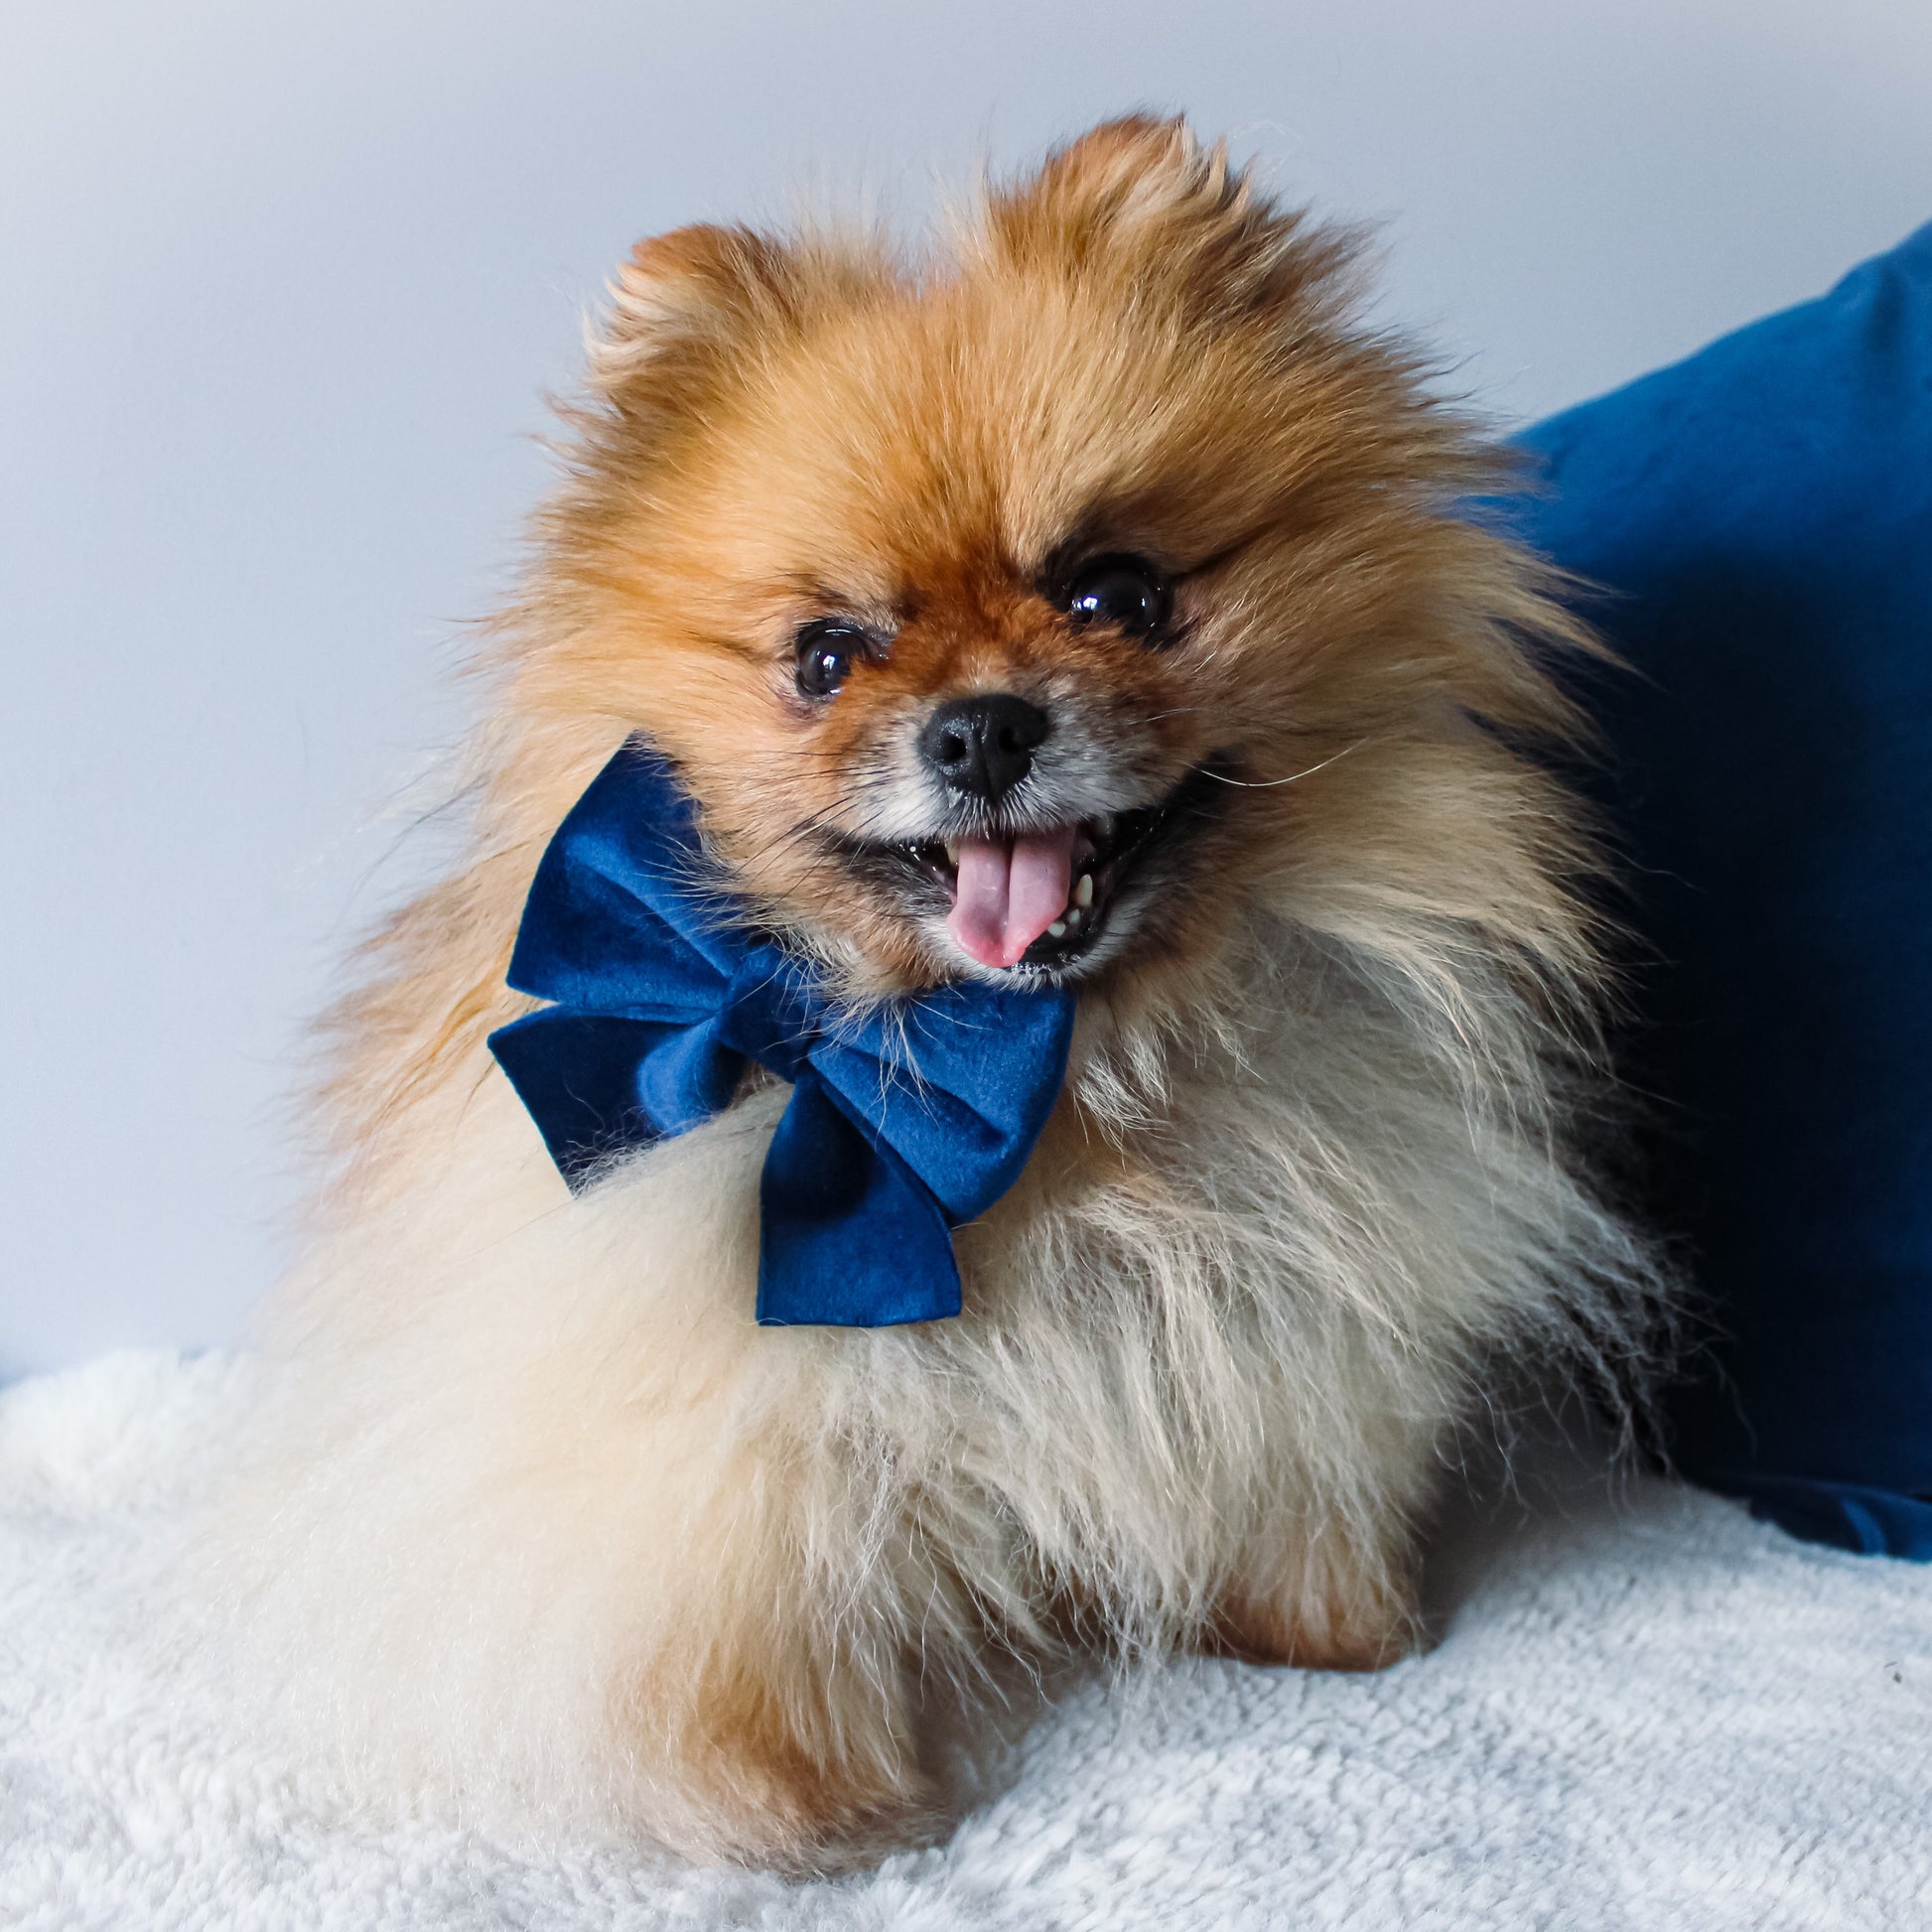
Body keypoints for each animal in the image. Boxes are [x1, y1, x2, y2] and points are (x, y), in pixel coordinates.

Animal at [207, 112, 1661, 1862]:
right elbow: (758, 1598)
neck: (1034, 1073)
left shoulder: (1284, 1311)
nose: (977, 726)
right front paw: (815, 1809)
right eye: (825, 657)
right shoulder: (734, 1411)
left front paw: (1331, 1632)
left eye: (1114, 593)